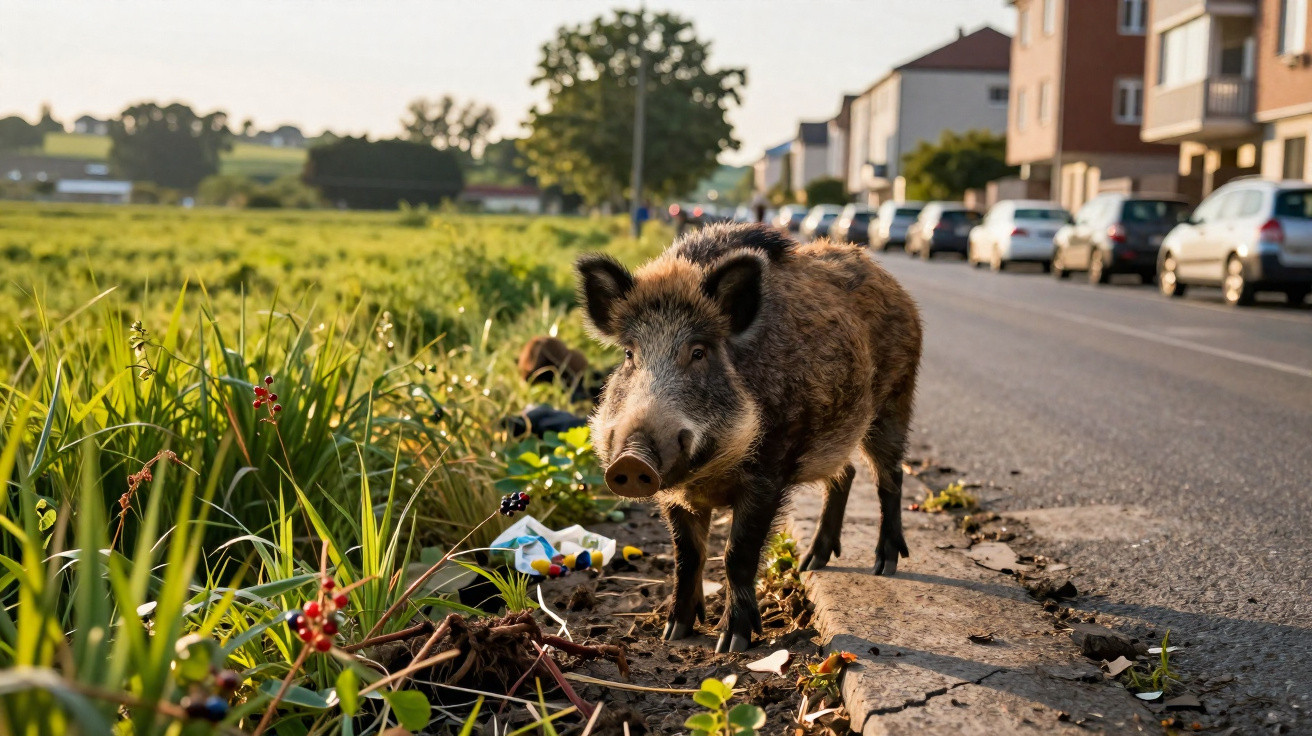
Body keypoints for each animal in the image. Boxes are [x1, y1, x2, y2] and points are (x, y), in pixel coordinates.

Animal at [575, 222, 922, 652]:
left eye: (699, 352)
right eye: (628, 354)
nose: (632, 459)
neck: (708, 474)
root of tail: (893, 285)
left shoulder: (770, 471)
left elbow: (736, 553)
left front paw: (733, 642)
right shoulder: (672, 494)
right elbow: (686, 555)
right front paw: (674, 633)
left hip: (895, 399)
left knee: (889, 475)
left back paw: (884, 566)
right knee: (845, 475)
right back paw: (812, 562)